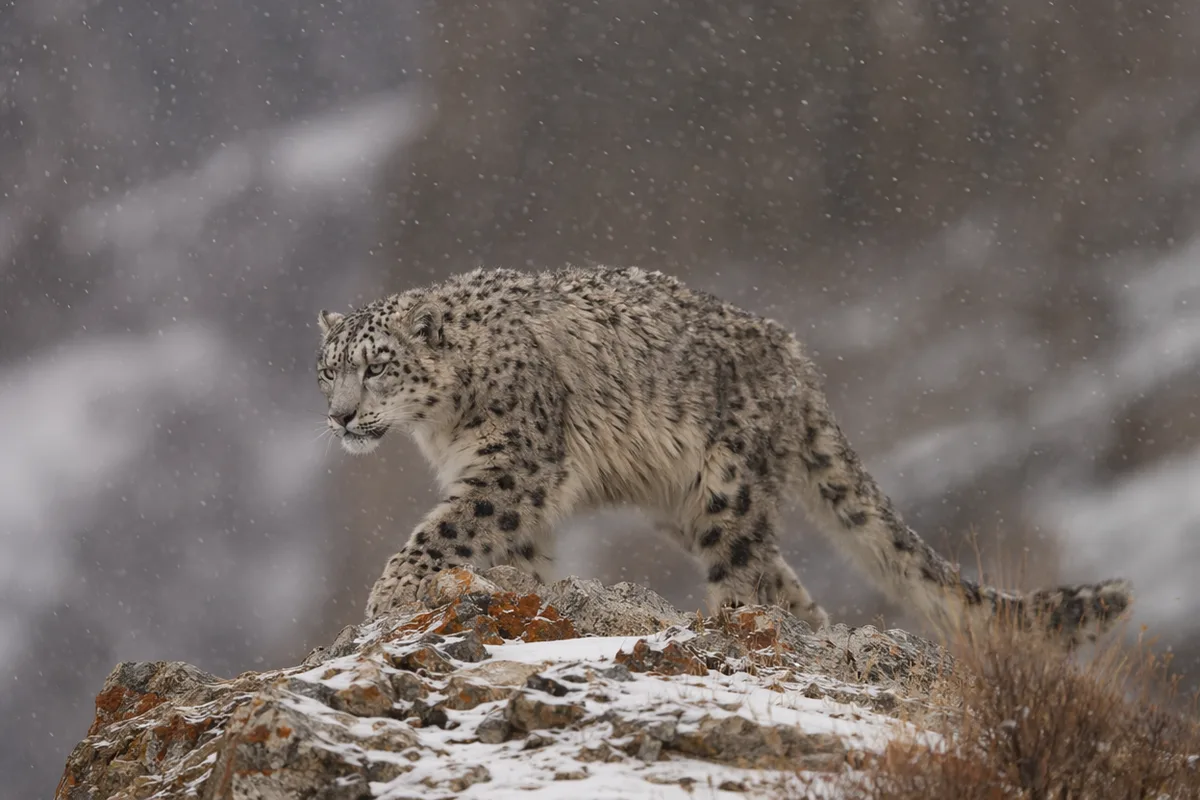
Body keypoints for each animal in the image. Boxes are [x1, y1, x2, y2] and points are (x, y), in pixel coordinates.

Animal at [315, 265, 1132, 648]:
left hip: (728, 489)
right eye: (327, 369)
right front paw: (519, 595)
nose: (341, 416)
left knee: (748, 574)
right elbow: (517, 555)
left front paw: (390, 594)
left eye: (378, 365)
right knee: (788, 586)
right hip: (692, 505)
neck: (440, 426)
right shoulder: (516, 490)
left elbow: (445, 526)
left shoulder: (514, 464)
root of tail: (797, 364)